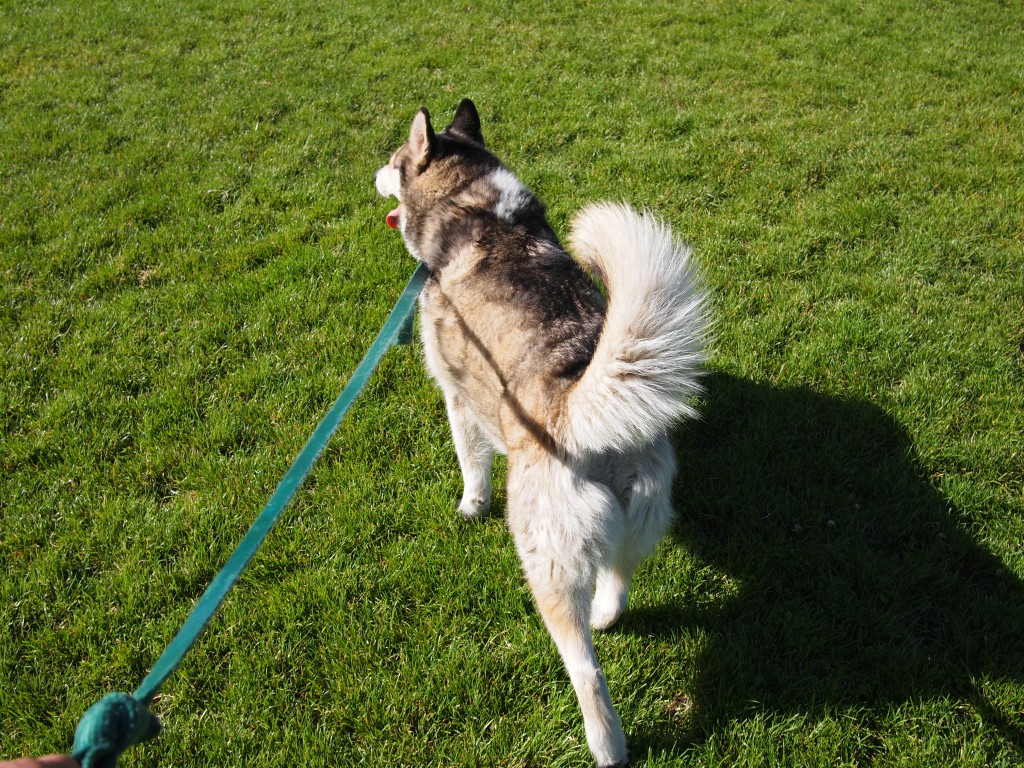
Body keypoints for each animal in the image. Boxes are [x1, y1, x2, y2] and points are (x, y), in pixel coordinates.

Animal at [376, 99, 712, 765]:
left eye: (395, 160)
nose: (373, 174)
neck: (475, 208)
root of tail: (579, 412)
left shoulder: (457, 394)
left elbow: (470, 462)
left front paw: (469, 506)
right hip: (636, 522)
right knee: (618, 580)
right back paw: (608, 616)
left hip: (545, 563)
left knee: (587, 670)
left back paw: (607, 745)